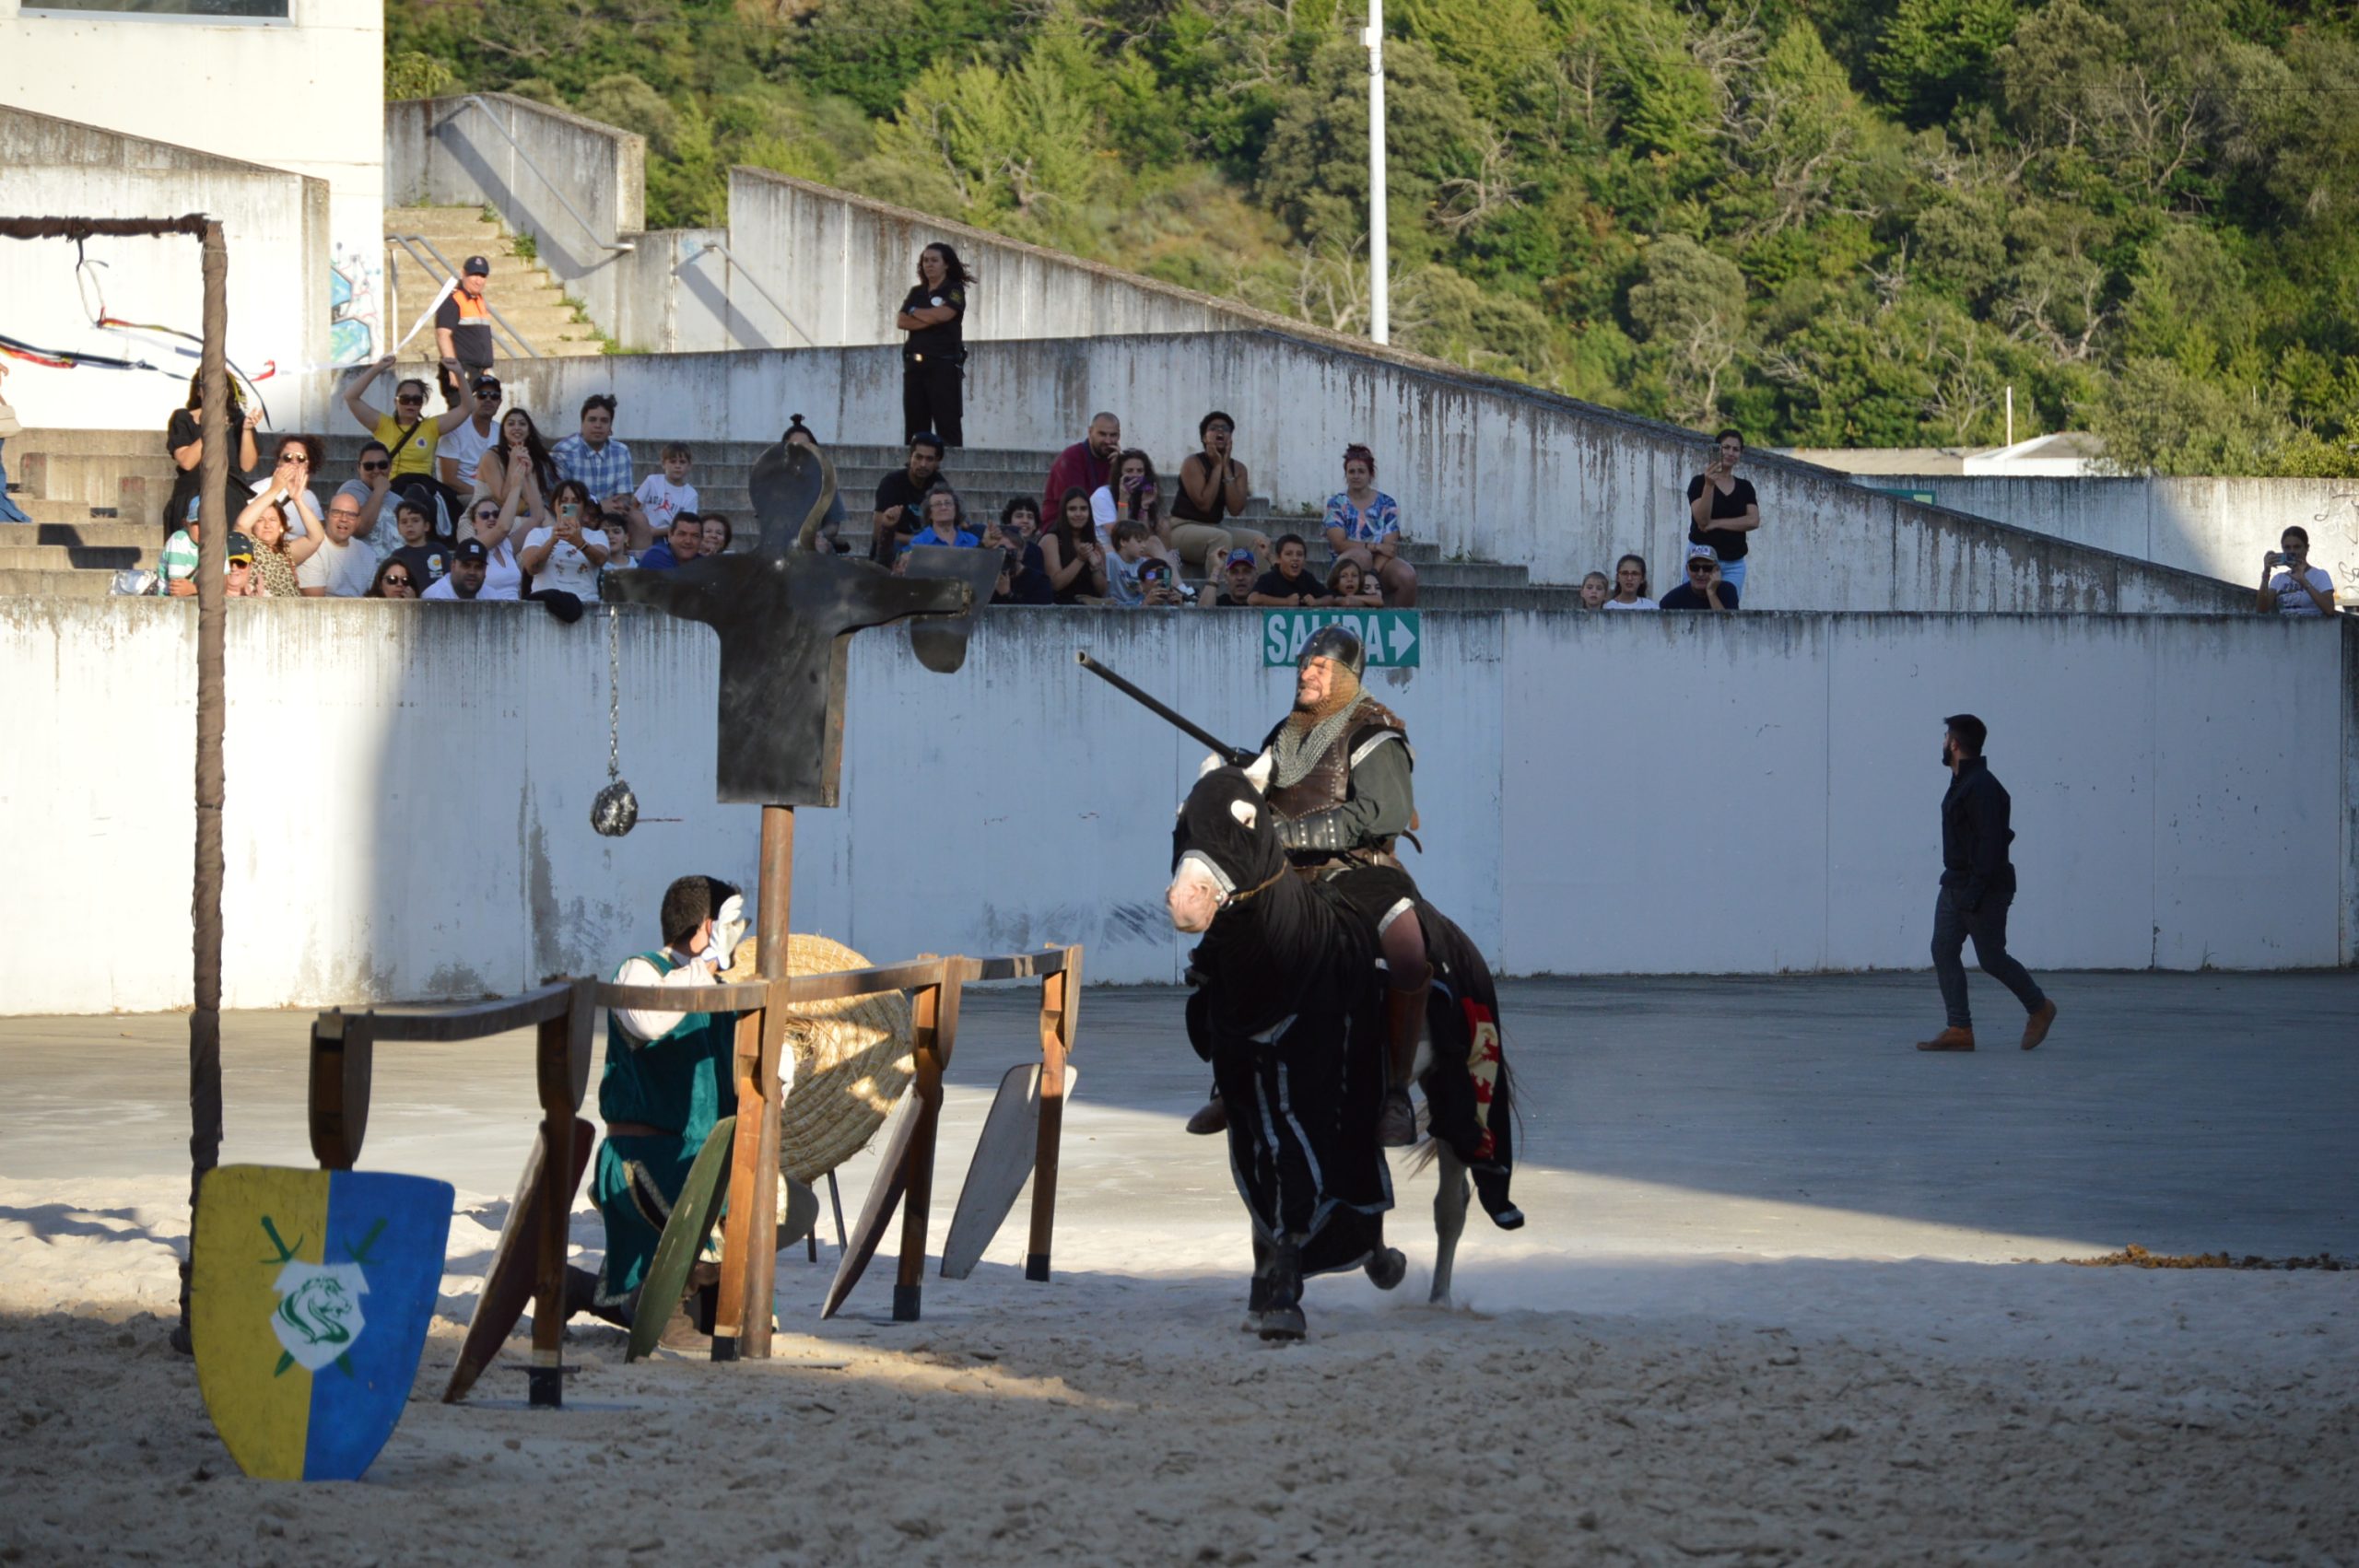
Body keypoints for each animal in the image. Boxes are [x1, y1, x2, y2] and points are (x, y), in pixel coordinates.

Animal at [1165, 759, 1528, 1329]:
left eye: (1246, 818)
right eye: (1181, 821)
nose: (1187, 902)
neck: (1289, 956)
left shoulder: (1320, 1092)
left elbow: (1305, 1184)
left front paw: (1286, 1299)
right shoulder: (1248, 1102)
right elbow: (1263, 1199)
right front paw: (1265, 1294)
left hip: (1458, 1079)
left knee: (1453, 1195)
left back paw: (1438, 1297)